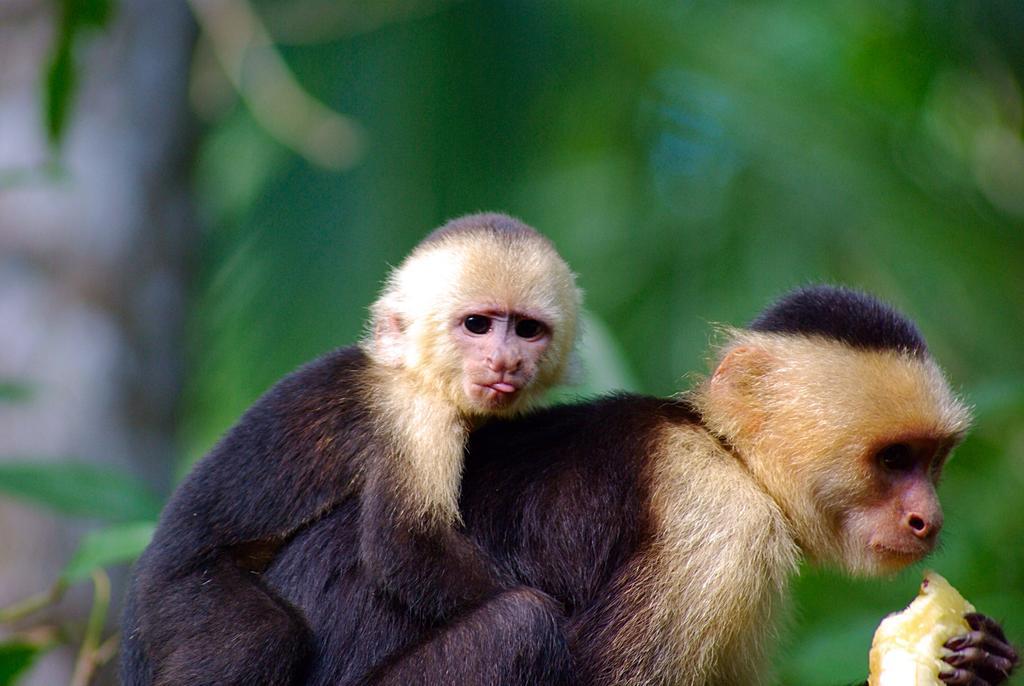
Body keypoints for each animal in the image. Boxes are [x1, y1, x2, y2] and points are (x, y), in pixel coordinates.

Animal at [117, 211, 581, 683]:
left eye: (527, 330)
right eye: (477, 324)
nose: (505, 361)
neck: (416, 373)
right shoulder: (417, 416)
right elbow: (405, 547)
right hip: (179, 596)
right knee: (257, 638)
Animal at [258, 284, 1015, 686]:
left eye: (932, 460)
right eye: (892, 460)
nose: (928, 518)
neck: (727, 454)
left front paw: (981, 663)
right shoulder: (716, 528)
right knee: (518, 629)